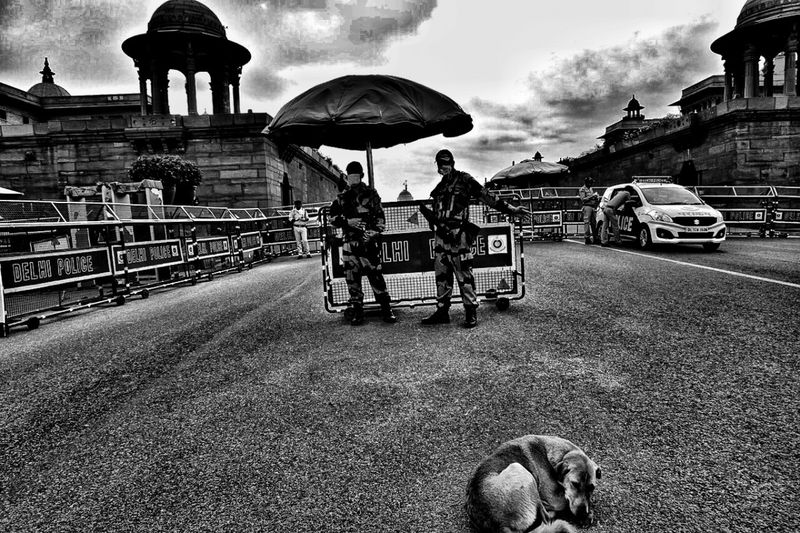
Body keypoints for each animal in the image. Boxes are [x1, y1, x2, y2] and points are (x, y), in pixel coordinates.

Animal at [466, 435, 601, 533]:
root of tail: (501, 525)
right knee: (546, 516)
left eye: (591, 488)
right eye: (575, 484)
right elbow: (563, 503)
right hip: (520, 469)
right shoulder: (555, 499)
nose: (583, 513)